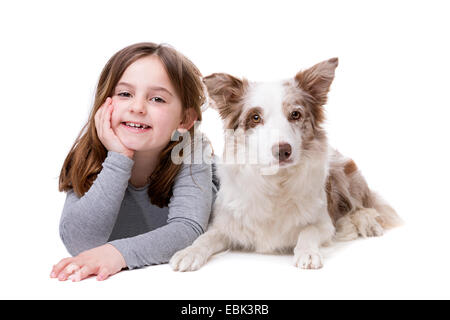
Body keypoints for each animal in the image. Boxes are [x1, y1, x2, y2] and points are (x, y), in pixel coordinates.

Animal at [171, 57, 402, 270]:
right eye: (255, 117)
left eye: (295, 114)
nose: (283, 150)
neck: (276, 182)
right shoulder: (225, 224)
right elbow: (205, 238)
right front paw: (188, 252)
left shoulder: (323, 222)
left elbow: (309, 230)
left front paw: (308, 253)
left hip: (345, 176)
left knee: (363, 207)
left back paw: (365, 223)